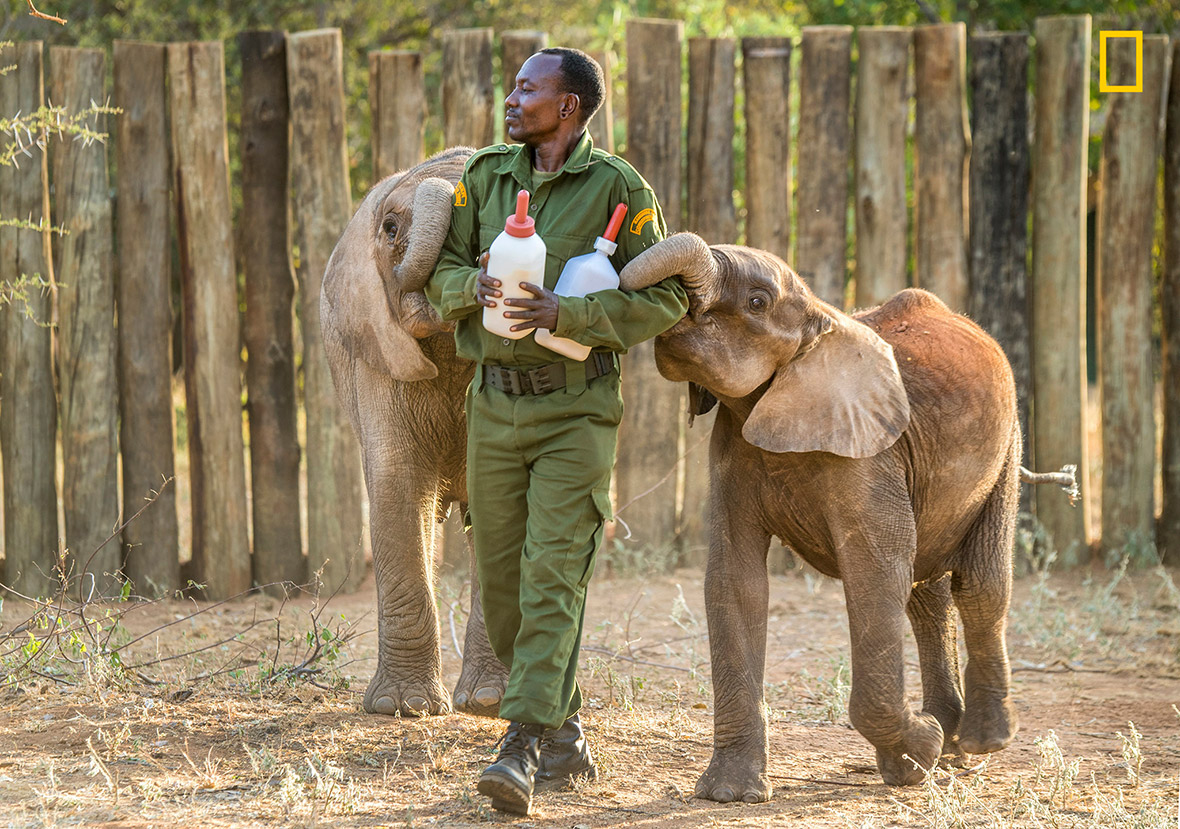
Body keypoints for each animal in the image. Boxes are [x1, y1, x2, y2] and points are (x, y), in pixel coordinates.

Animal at [618, 233, 1024, 797]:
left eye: (757, 301)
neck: (819, 318)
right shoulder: (732, 446)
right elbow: (735, 581)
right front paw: (729, 794)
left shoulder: (870, 453)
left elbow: (876, 574)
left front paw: (917, 753)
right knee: (926, 596)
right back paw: (950, 745)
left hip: (1007, 447)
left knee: (979, 583)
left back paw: (980, 742)